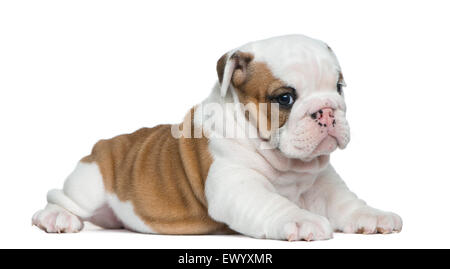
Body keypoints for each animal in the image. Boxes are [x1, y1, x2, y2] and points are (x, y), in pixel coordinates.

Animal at [32, 34, 404, 240]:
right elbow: (274, 203)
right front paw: (300, 220)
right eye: (285, 98)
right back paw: (55, 218)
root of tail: (104, 144)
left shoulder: (323, 183)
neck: (288, 165)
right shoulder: (238, 185)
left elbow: (345, 202)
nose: (327, 110)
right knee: (60, 198)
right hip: (90, 182)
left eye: (338, 87)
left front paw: (373, 217)